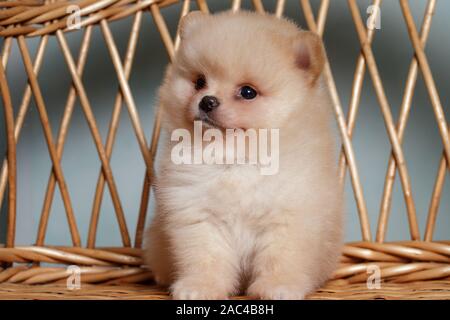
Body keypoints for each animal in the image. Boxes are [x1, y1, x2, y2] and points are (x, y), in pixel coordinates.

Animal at [145, 10, 344, 300]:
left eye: (248, 92)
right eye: (199, 82)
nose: (207, 100)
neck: (236, 160)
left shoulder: (288, 218)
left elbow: (280, 258)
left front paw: (277, 286)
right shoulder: (199, 216)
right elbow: (205, 257)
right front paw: (201, 286)